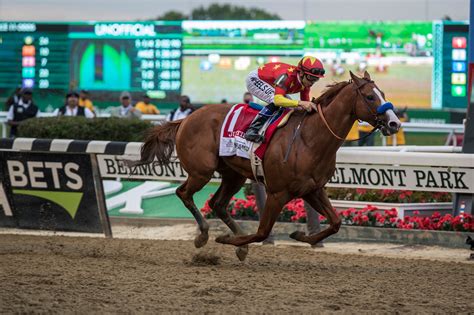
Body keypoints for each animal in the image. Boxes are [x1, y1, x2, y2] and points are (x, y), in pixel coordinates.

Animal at [136, 72, 400, 262]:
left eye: (383, 93)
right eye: (370, 97)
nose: (394, 123)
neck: (309, 139)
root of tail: (186, 118)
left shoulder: (312, 189)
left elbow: (335, 223)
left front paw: (299, 234)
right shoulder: (277, 193)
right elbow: (262, 232)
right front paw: (228, 242)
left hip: (233, 175)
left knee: (217, 203)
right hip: (202, 171)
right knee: (183, 193)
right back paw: (203, 234)